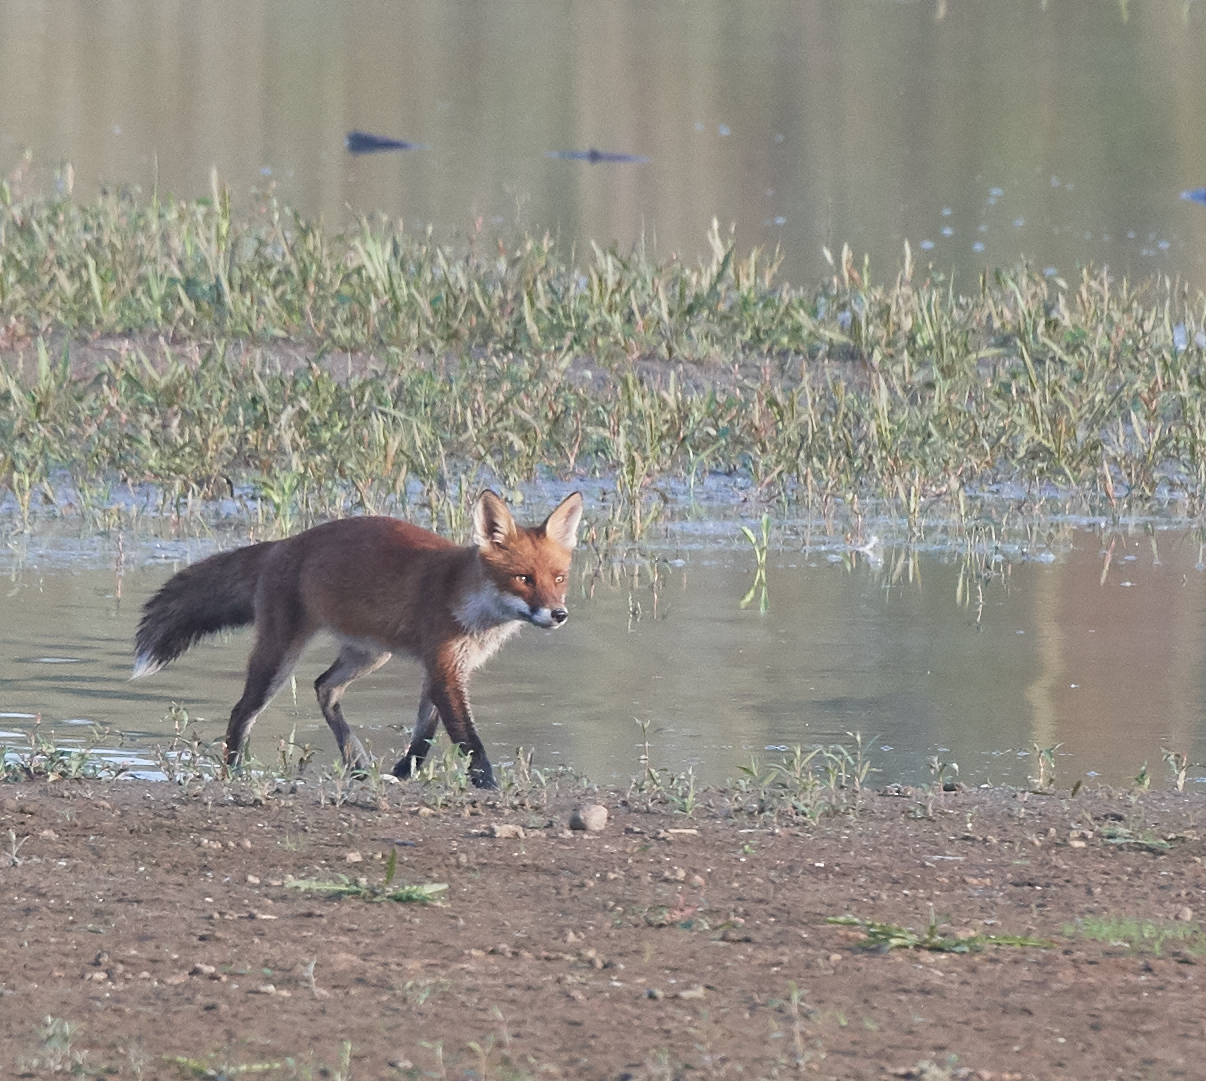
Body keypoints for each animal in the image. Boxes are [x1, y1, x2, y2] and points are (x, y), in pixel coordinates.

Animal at [132, 490, 584, 788]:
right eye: (523, 578)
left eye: (559, 579)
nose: (558, 615)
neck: (466, 602)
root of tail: (284, 543)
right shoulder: (443, 669)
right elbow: (467, 739)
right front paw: (487, 784)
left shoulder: (443, 669)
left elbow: (424, 732)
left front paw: (404, 772)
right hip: (280, 658)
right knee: (242, 711)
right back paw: (235, 770)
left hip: (369, 654)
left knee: (324, 688)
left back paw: (356, 761)